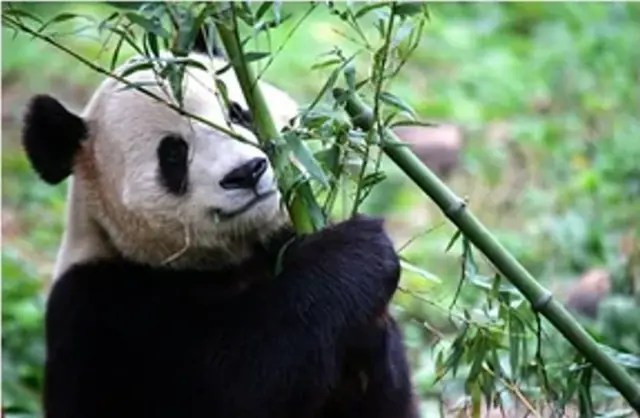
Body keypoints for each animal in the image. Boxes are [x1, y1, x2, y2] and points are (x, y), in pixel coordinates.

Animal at [21, 35, 420, 418]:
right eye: (173, 154)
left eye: (239, 113)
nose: (246, 172)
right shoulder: (105, 312)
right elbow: (240, 381)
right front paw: (357, 251)